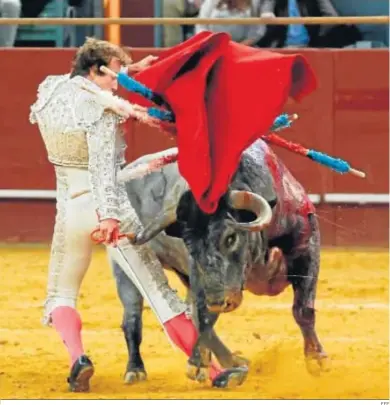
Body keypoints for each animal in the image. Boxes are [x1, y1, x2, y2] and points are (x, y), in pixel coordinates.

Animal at [112, 139, 330, 386]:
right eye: (189, 242)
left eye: (231, 237)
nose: (218, 302)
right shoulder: (199, 274)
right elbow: (205, 314)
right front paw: (197, 362)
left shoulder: (308, 247)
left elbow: (303, 309)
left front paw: (316, 359)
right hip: (125, 264)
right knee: (133, 318)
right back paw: (136, 369)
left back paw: (231, 363)